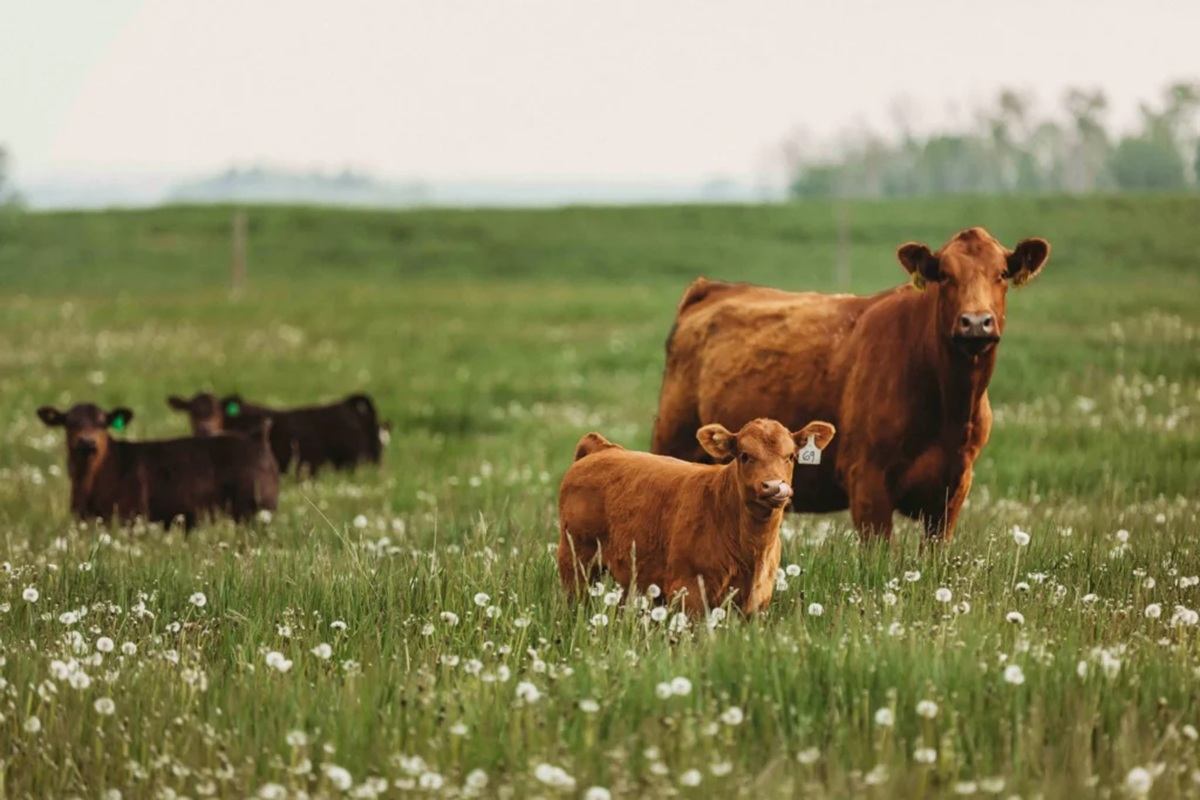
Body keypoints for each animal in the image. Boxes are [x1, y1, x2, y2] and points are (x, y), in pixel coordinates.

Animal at [37, 403, 278, 528]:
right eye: (69, 422)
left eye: (102, 423)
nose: (87, 442)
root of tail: (257, 438)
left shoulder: (129, 517)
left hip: (256, 509)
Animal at [558, 418, 836, 615]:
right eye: (745, 455)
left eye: (790, 456)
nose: (774, 486)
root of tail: (603, 449)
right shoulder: (689, 590)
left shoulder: (757, 602)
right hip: (576, 561)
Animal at [651, 227, 1050, 543]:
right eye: (945, 275)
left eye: (1001, 273)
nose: (976, 322)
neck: (948, 404)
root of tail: (714, 288)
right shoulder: (867, 483)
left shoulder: (953, 490)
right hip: (675, 443)